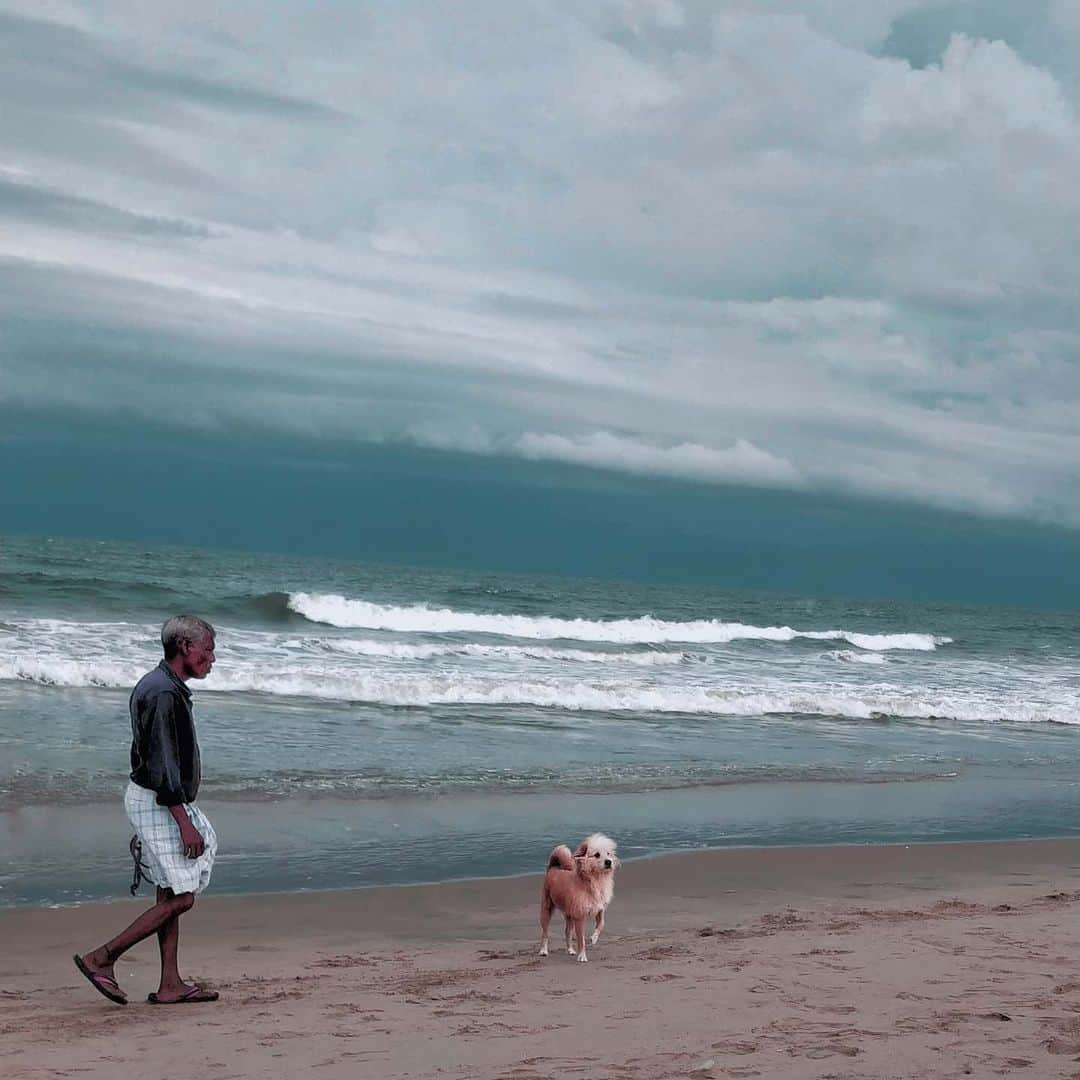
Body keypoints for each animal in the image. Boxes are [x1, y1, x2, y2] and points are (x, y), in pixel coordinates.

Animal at [537, 833, 617, 963]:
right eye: (597, 855)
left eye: (608, 853)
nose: (609, 862)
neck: (594, 880)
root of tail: (553, 868)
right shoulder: (580, 917)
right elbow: (581, 940)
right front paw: (582, 956)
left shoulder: (600, 910)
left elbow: (601, 924)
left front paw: (594, 938)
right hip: (546, 910)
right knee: (545, 933)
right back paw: (543, 950)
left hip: (569, 915)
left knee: (567, 932)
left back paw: (570, 950)